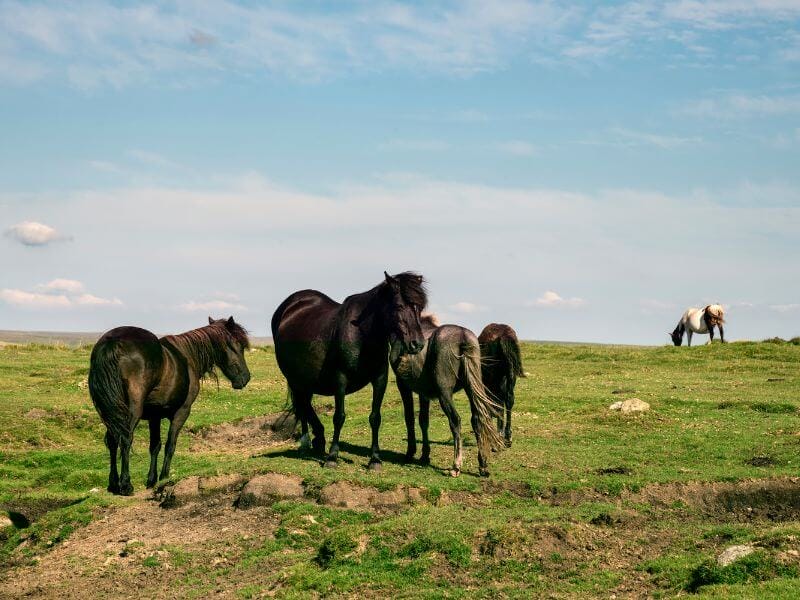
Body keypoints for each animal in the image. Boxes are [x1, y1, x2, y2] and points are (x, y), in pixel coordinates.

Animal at [89, 316, 250, 494]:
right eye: (239, 346)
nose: (245, 378)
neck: (188, 356)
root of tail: (112, 342)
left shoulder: (154, 416)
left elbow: (155, 446)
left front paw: (151, 480)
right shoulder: (182, 412)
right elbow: (170, 445)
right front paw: (164, 478)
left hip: (108, 412)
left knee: (112, 440)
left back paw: (113, 484)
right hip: (131, 411)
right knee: (125, 438)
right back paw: (125, 485)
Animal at [272, 270, 428, 472]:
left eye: (420, 307)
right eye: (399, 306)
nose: (417, 344)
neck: (362, 335)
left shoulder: (380, 379)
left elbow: (375, 418)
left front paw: (375, 460)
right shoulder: (340, 379)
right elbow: (339, 417)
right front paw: (332, 457)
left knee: (304, 404)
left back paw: (318, 439)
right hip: (294, 378)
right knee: (302, 404)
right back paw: (306, 442)